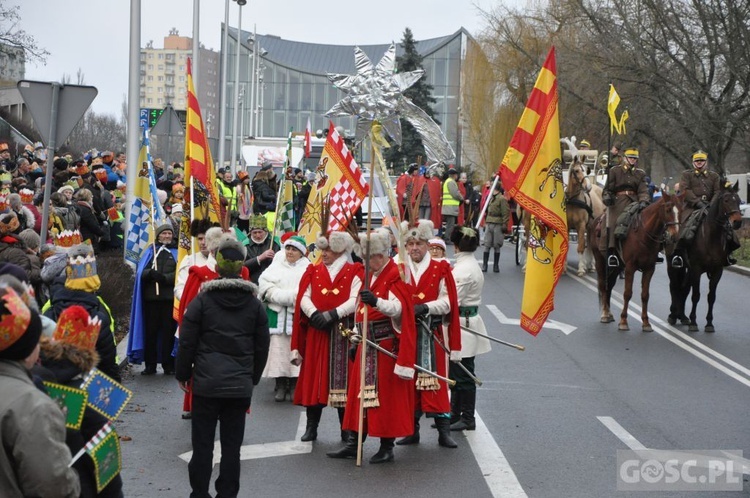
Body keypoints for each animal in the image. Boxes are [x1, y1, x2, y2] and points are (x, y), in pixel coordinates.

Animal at [592, 195, 684, 330]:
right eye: (668, 210)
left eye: (681, 211)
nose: (674, 236)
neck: (643, 234)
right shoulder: (630, 268)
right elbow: (627, 293)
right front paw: (623, 321)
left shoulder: (649, 269)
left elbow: (645, 295)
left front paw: (646, 322)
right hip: (600, 260)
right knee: (603, 285)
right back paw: (604, 314)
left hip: (617, 266)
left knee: (610, 285)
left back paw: (609, 313)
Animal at [672, 181, 744, 332]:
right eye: (726, 200)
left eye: (739, 200)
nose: (737, 222)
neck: (711, 237)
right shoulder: (697, 269)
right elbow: (696, 295)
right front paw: (694, 322)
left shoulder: (717, 271)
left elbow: (711, 297)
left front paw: (709, 323)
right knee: (676, 286)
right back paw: (674, 315)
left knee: (684, 288)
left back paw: (682, 316)